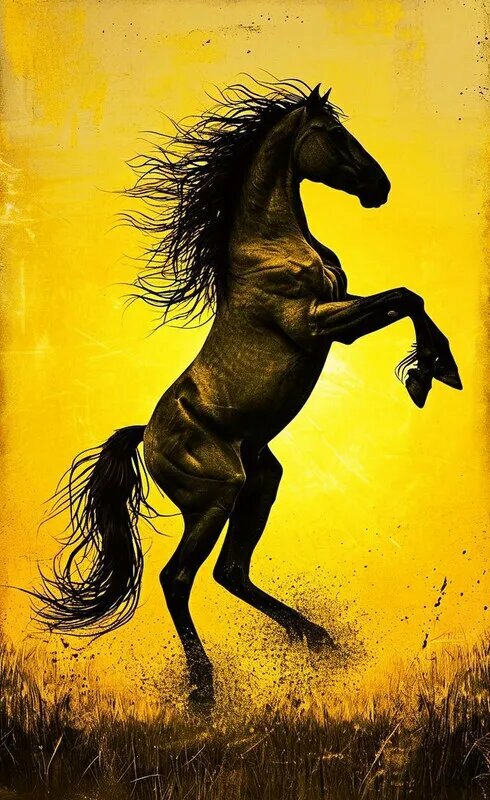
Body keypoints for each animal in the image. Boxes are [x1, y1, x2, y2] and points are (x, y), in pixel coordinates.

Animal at [35, 78, 462, 708]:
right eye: (333, 134)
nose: (379, 186)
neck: (270, 244)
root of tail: (146, 437)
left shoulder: (342, 321)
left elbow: (406, 300)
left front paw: (433, 371)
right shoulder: (315, 324)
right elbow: (406, 296)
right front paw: (428, 375)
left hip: (262, 478)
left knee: (230, 571)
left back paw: (322, 642)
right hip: (216, 495)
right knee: (178, 578)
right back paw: (204, 686)